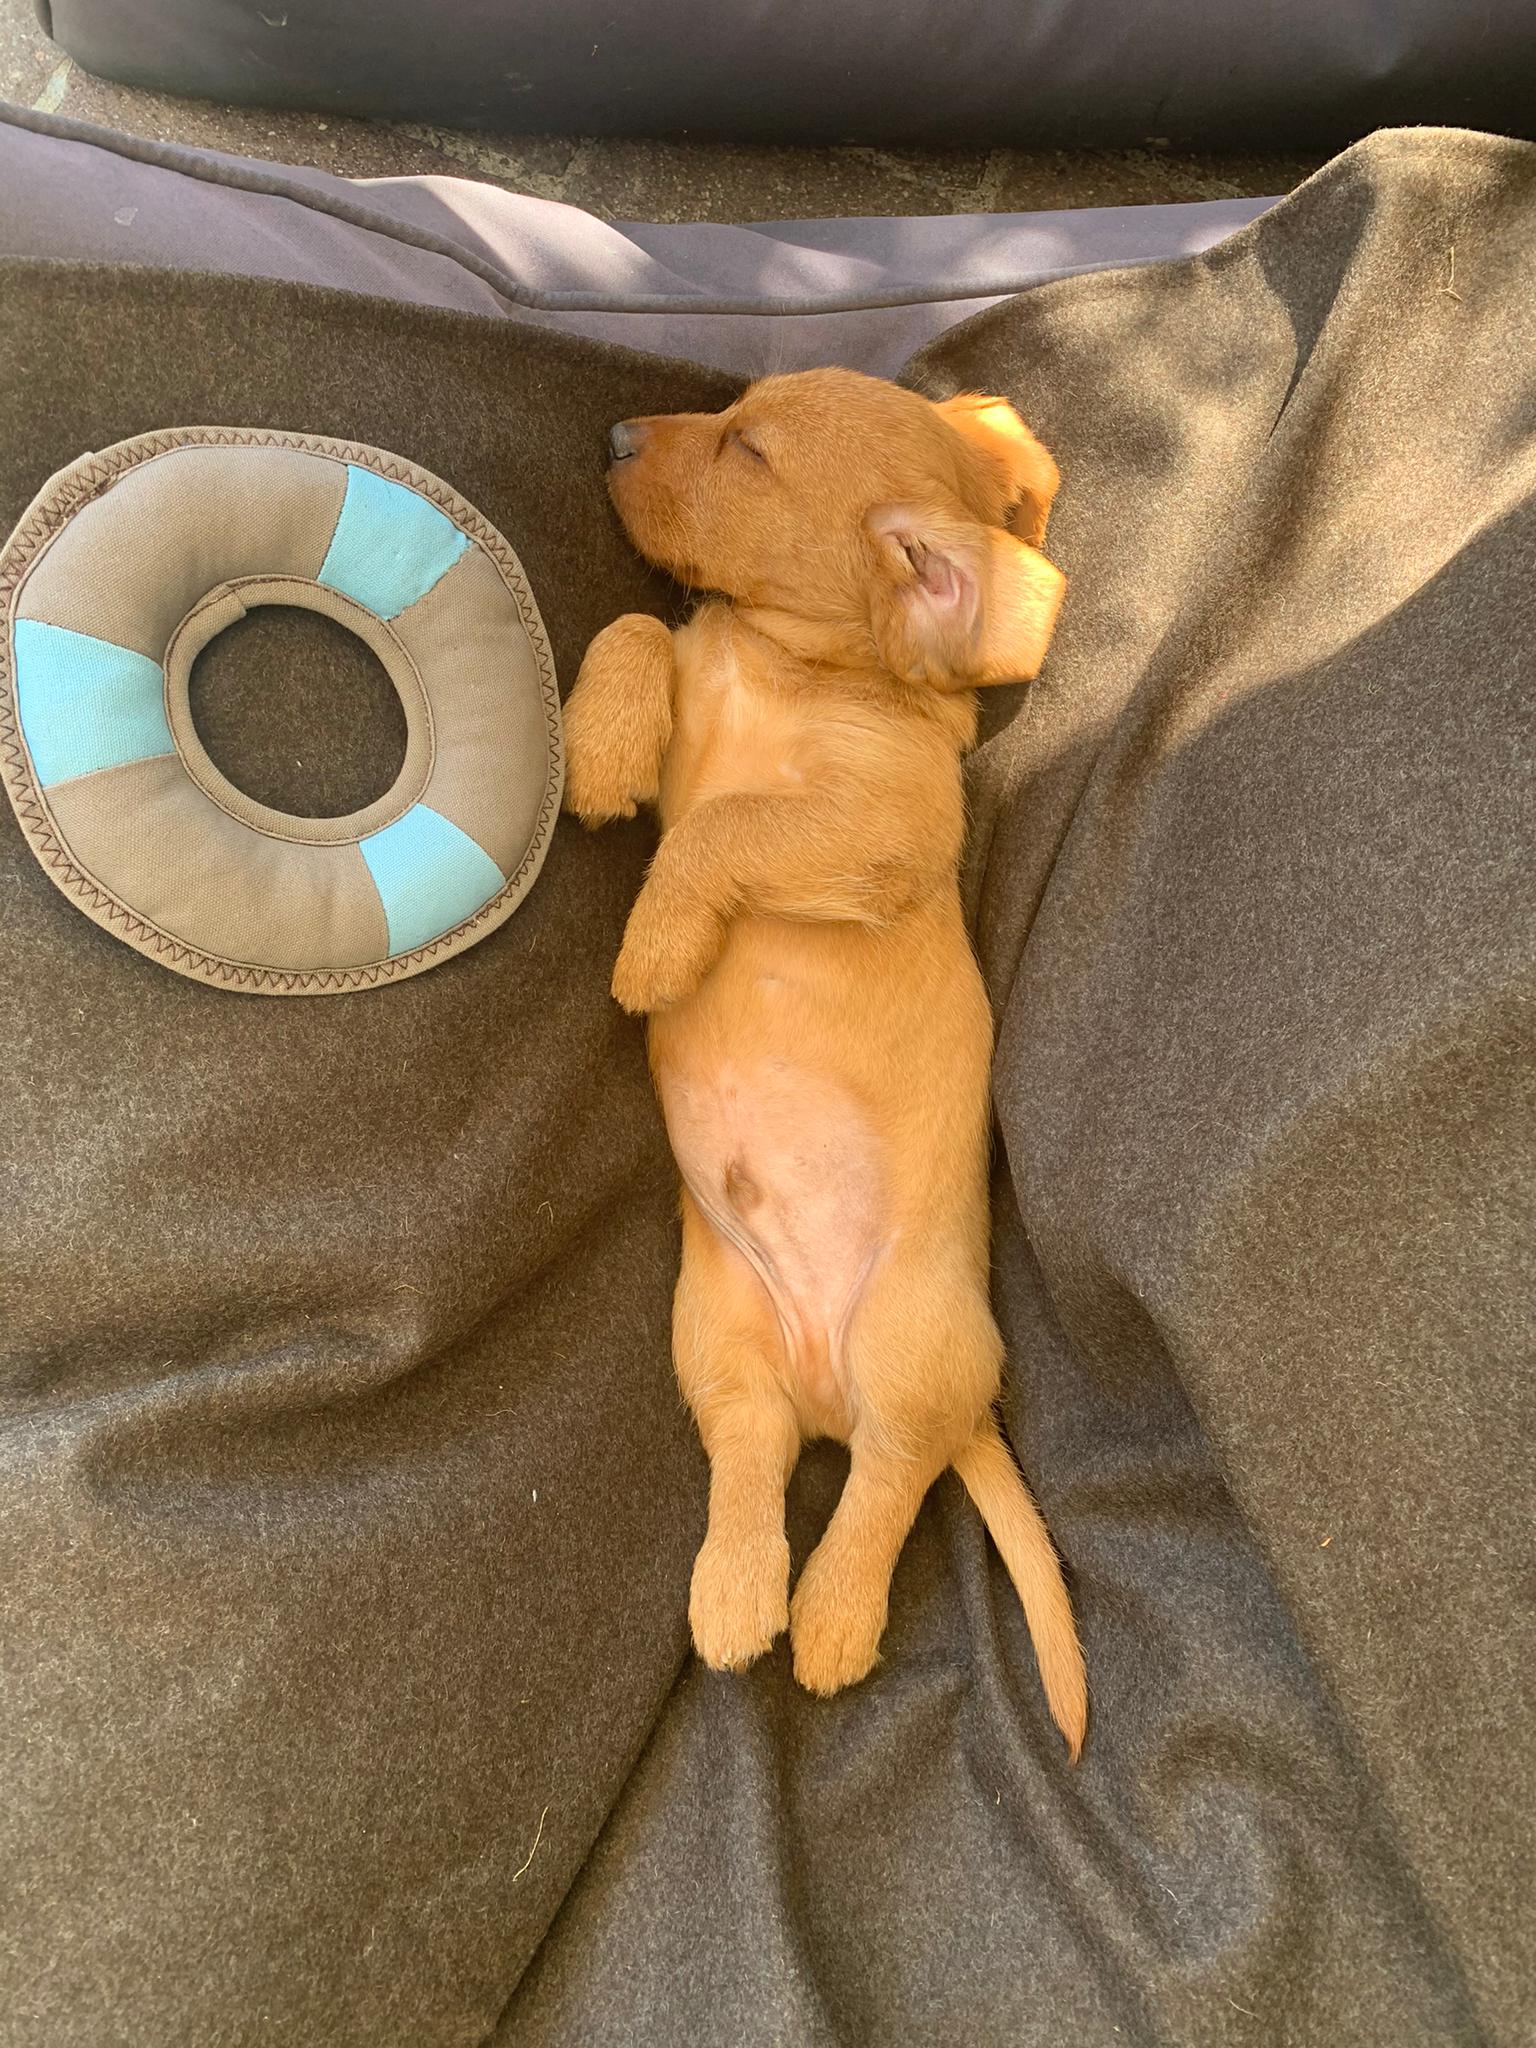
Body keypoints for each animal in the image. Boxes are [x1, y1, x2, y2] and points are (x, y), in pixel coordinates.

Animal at [561, 368, 1087, 1757]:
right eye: (730, 411)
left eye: (748, 450)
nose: (612, 433)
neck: (775, 663)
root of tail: (824, 1382)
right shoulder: (692, 692)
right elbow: (634, 629)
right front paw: (601, 749)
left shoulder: (877, 827)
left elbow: (725, 828)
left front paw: (654, 946)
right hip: (715, 1333)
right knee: (753, 1457)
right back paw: (738, 1594)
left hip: (910, 1340)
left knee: (889, 1479)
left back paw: (835, 1618)